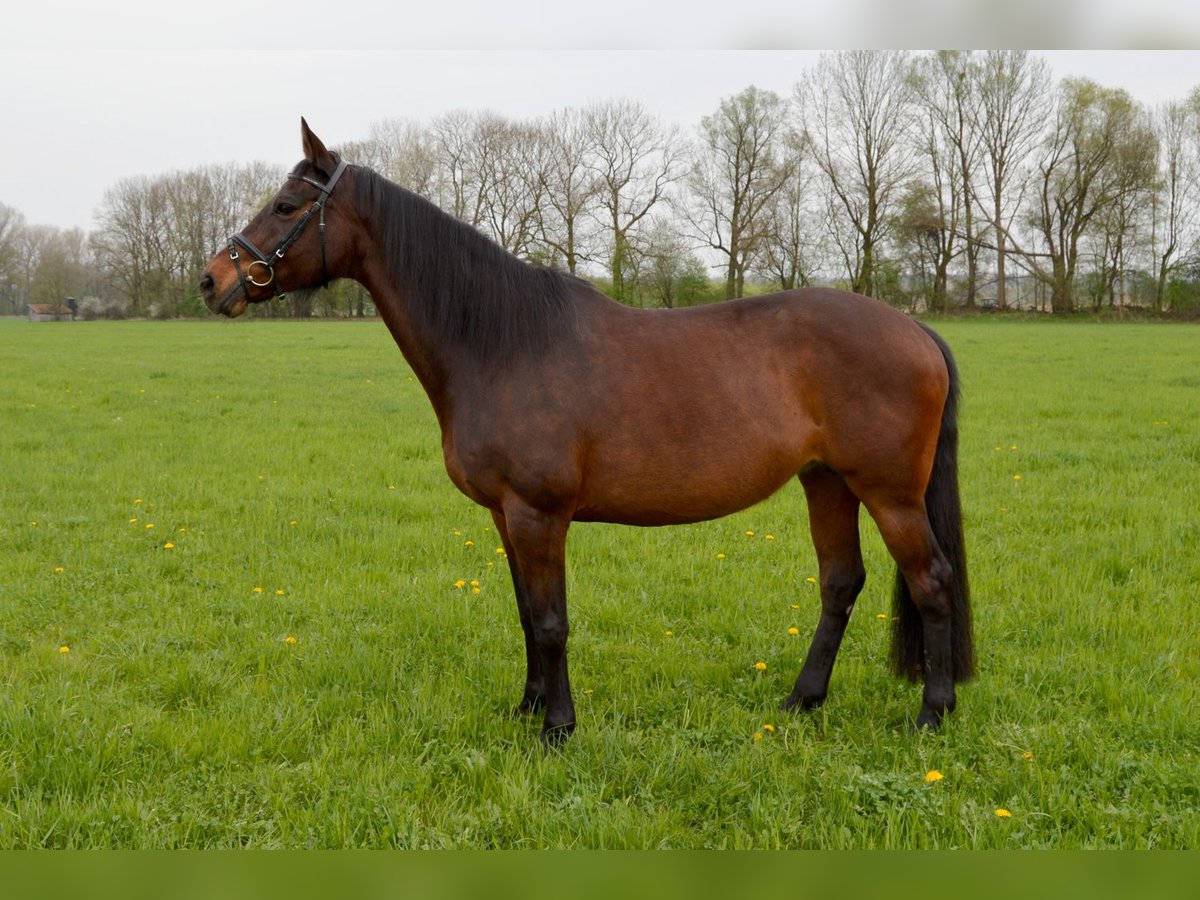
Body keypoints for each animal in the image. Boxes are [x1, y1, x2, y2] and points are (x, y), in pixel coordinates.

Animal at [201, 120, 969, 748]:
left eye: (287, 206)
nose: (212, 282)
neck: (501, 344)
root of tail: (917, 331)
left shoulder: (539, 514)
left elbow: (551, 621)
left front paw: (558, 728)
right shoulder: (506, 517)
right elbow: (524, 615)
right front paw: (526, 709)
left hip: (889, 494)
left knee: (931, 581)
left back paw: (930, 716)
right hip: (826, 482)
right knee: (841, 583)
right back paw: (802, 701)